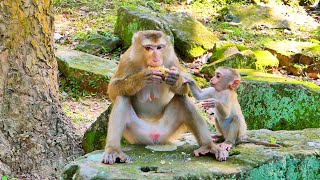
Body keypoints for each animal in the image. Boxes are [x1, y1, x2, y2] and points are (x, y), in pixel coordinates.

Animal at [102, 30, 228, 164]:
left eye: (159, 47)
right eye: (148, 48)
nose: (156, 58)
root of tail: (153, 138)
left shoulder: (172, 59)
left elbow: (184, 89)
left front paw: (174, 79)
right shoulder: (127, 59)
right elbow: (113, 89)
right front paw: (142, 77)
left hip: (167, 132)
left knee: (182, 99)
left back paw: (208, 146)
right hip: (136, 135)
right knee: (123, 97)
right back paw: (113, 150)